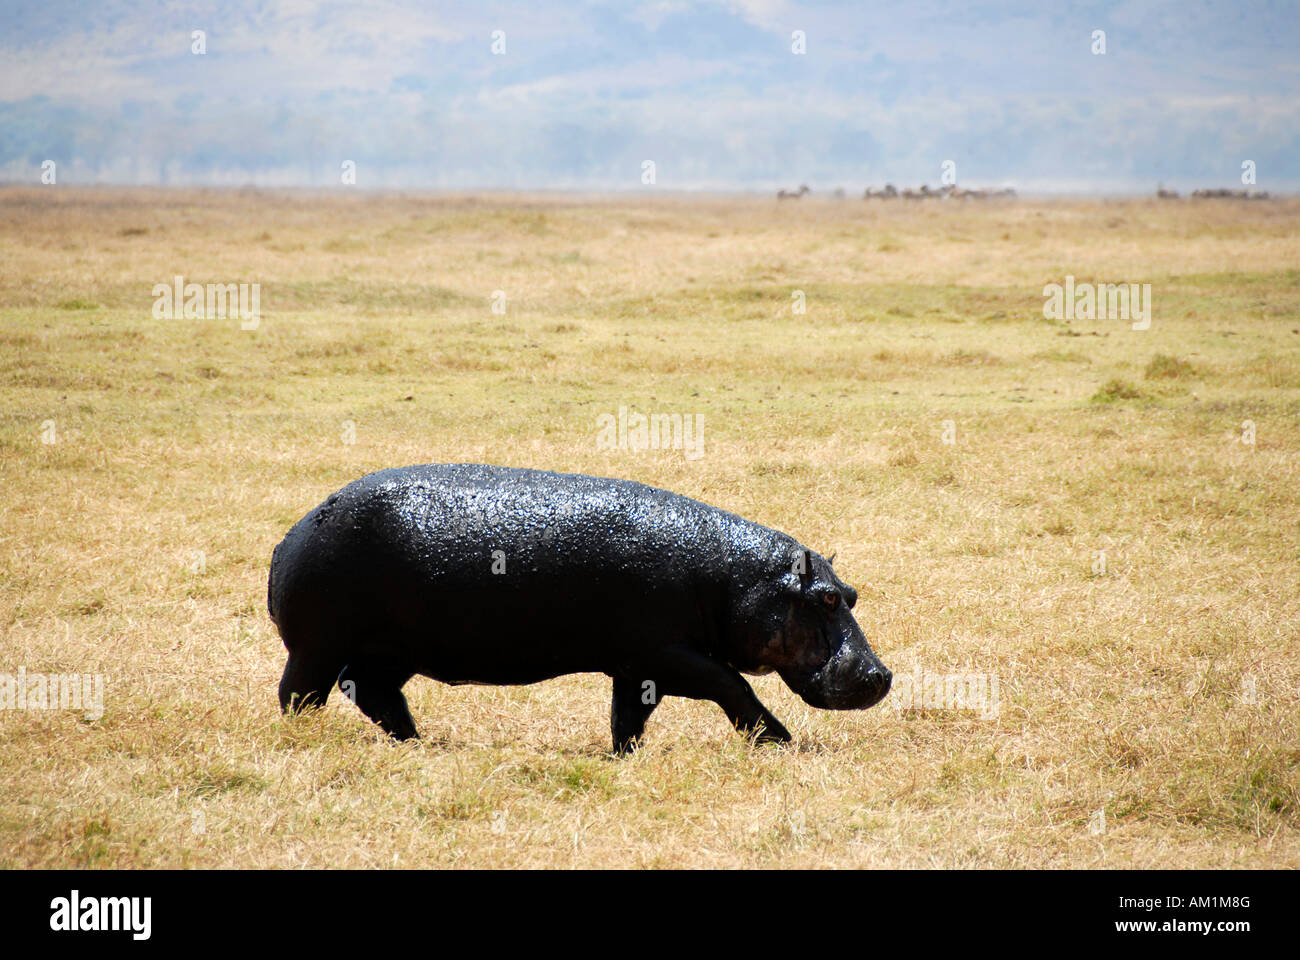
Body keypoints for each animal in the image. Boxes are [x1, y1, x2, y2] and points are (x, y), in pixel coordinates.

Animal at [269, 460, 889, 749]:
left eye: (852, 593)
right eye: (826, 597)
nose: (881, 675)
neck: (733, 579)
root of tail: (291, 534)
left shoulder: (636, 667)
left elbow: (627, 719)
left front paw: (624, 759)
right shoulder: (665, 654)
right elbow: (732, 685)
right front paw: (781, 742)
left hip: (393, 651)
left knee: (371, 691)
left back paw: (419, 743)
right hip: (319, 645)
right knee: (300, 694)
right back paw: (305, 739)